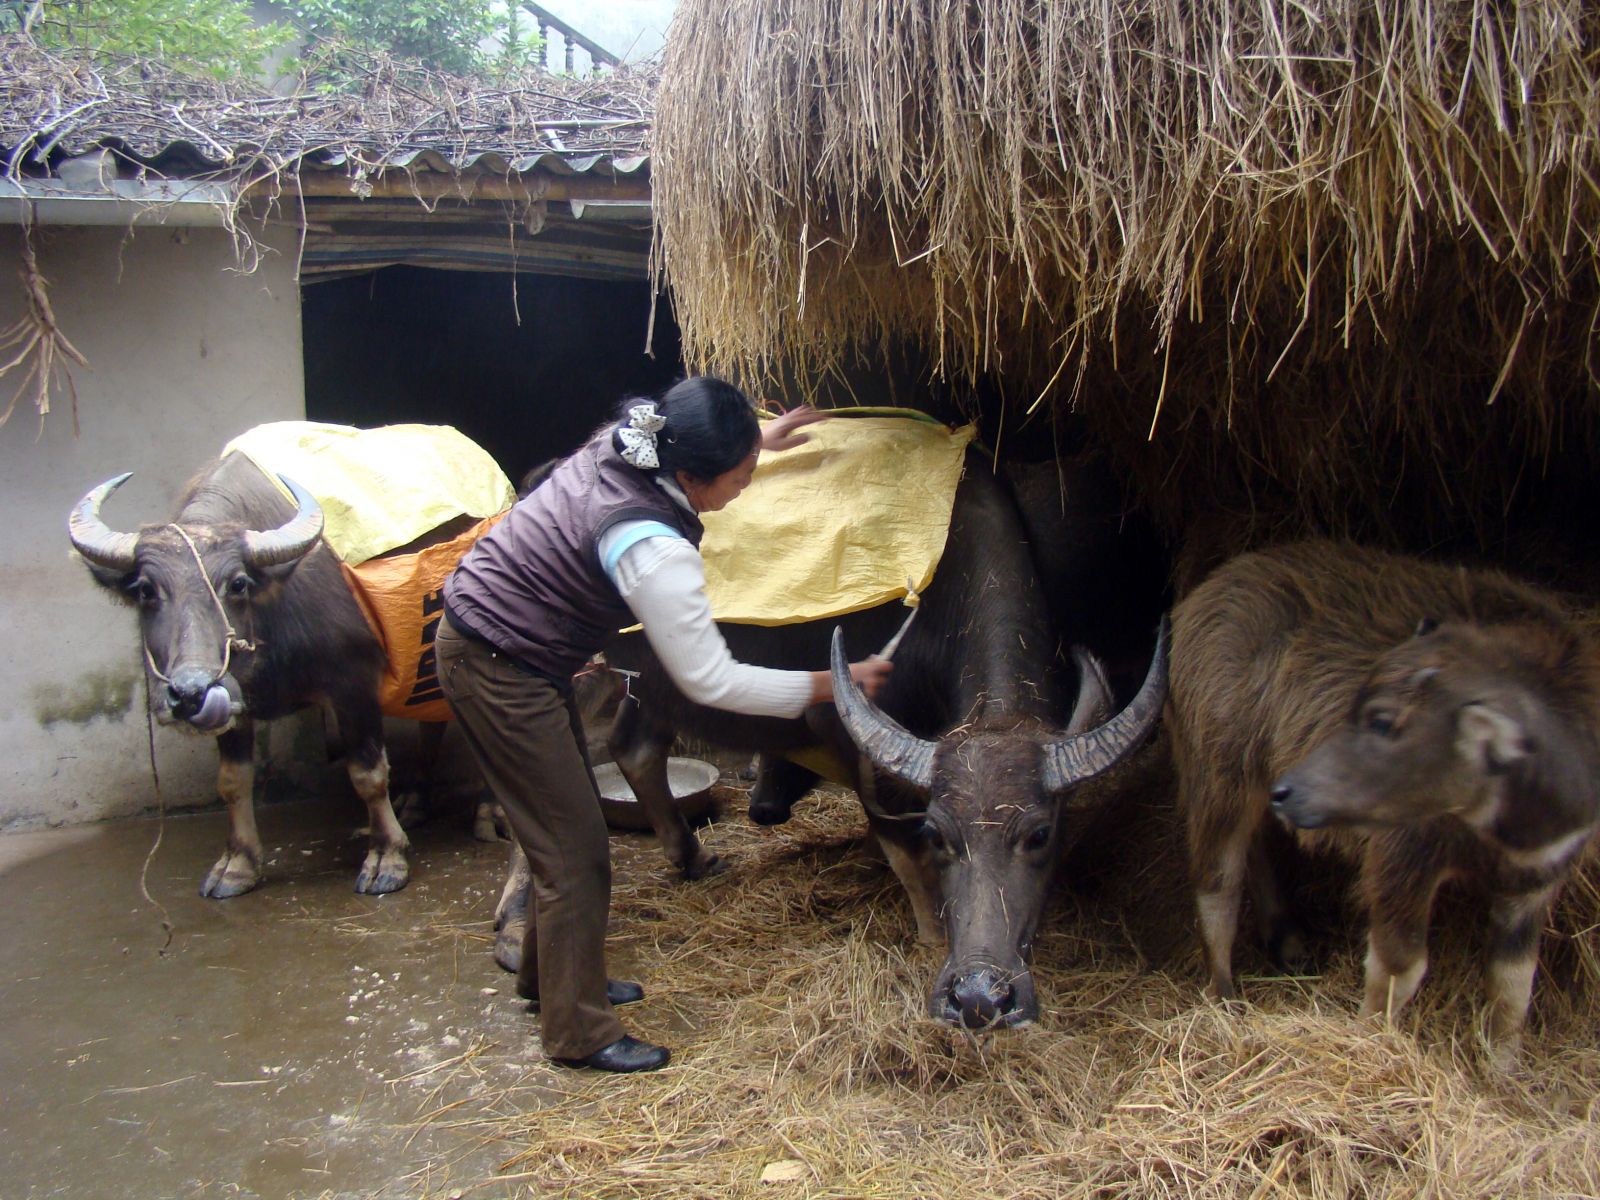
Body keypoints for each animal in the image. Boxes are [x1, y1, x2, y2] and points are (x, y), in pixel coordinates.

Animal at [74, 454, 412, 896]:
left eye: (237, 584)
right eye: (146, 590)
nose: (189, 694)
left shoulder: (354, 684)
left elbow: (368, 774)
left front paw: (387, 856)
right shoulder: (234, 704)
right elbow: (233, 781)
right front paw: (237, 864)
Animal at [492, 460, 1171, 1036]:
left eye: (1040, 835)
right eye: (941, 833)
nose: (980, 995)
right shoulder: (846, 730)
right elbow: (899, 843)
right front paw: (931, 934)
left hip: (653, 683)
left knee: (632, 749)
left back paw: (691, 857)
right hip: (567, 670)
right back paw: (513, 931)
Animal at [1164, 540, 1600, 1068]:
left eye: (1382, 721)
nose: (1294, 789)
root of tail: (1208, 590)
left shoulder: (1534, 884)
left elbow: (1513, 982)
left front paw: (1502, 1068)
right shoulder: (1403, 863)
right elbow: (1399, 968)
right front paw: (1371, 1039)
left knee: (1259, 844)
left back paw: (1286, 935)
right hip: (1221, 776)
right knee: (1218, 886)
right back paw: (1225, 996)